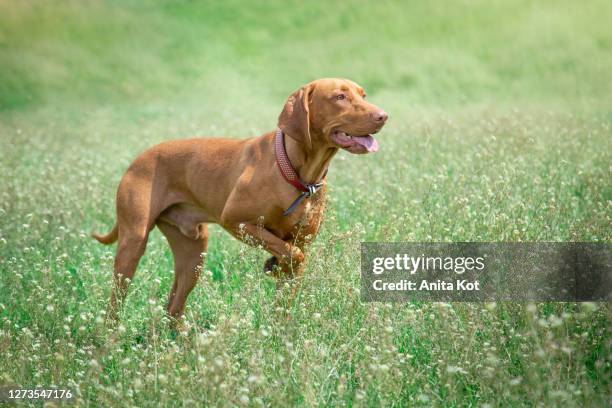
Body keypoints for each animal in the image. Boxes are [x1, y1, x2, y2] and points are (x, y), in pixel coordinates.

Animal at [92, 77, 388, 318]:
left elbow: (289, 277)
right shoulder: (236, 221)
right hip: (133, 244)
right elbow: (291, 253)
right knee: (114, 307)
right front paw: (274, 264)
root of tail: (138, 158)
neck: (297, 173)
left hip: (194, 252)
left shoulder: (301, 243)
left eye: (363, 95)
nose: (384, 116)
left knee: (173, 309)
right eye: (339, 97)